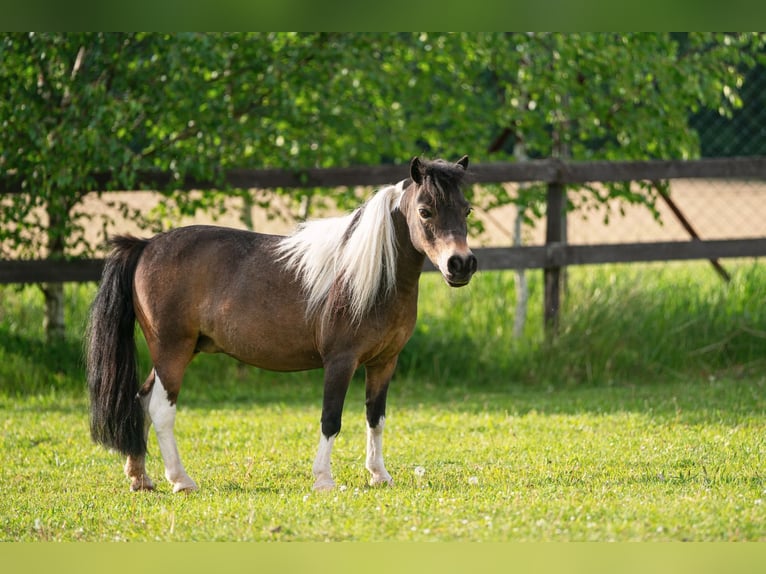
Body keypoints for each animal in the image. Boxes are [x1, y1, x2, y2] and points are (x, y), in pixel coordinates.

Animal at [86, 155, 477, 493]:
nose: (460, 264)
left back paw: (140, 477)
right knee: (161, 409)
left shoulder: (384, 362)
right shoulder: (341, 361)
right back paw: (181, 480)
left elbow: (375, 418)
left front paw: (379, 475)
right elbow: (331, 419)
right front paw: (323, 479)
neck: (368, 275)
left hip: (176, 352)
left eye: (466, 209)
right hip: (172, 351)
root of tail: (145, 245)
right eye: (425, 211)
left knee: (141, 400)